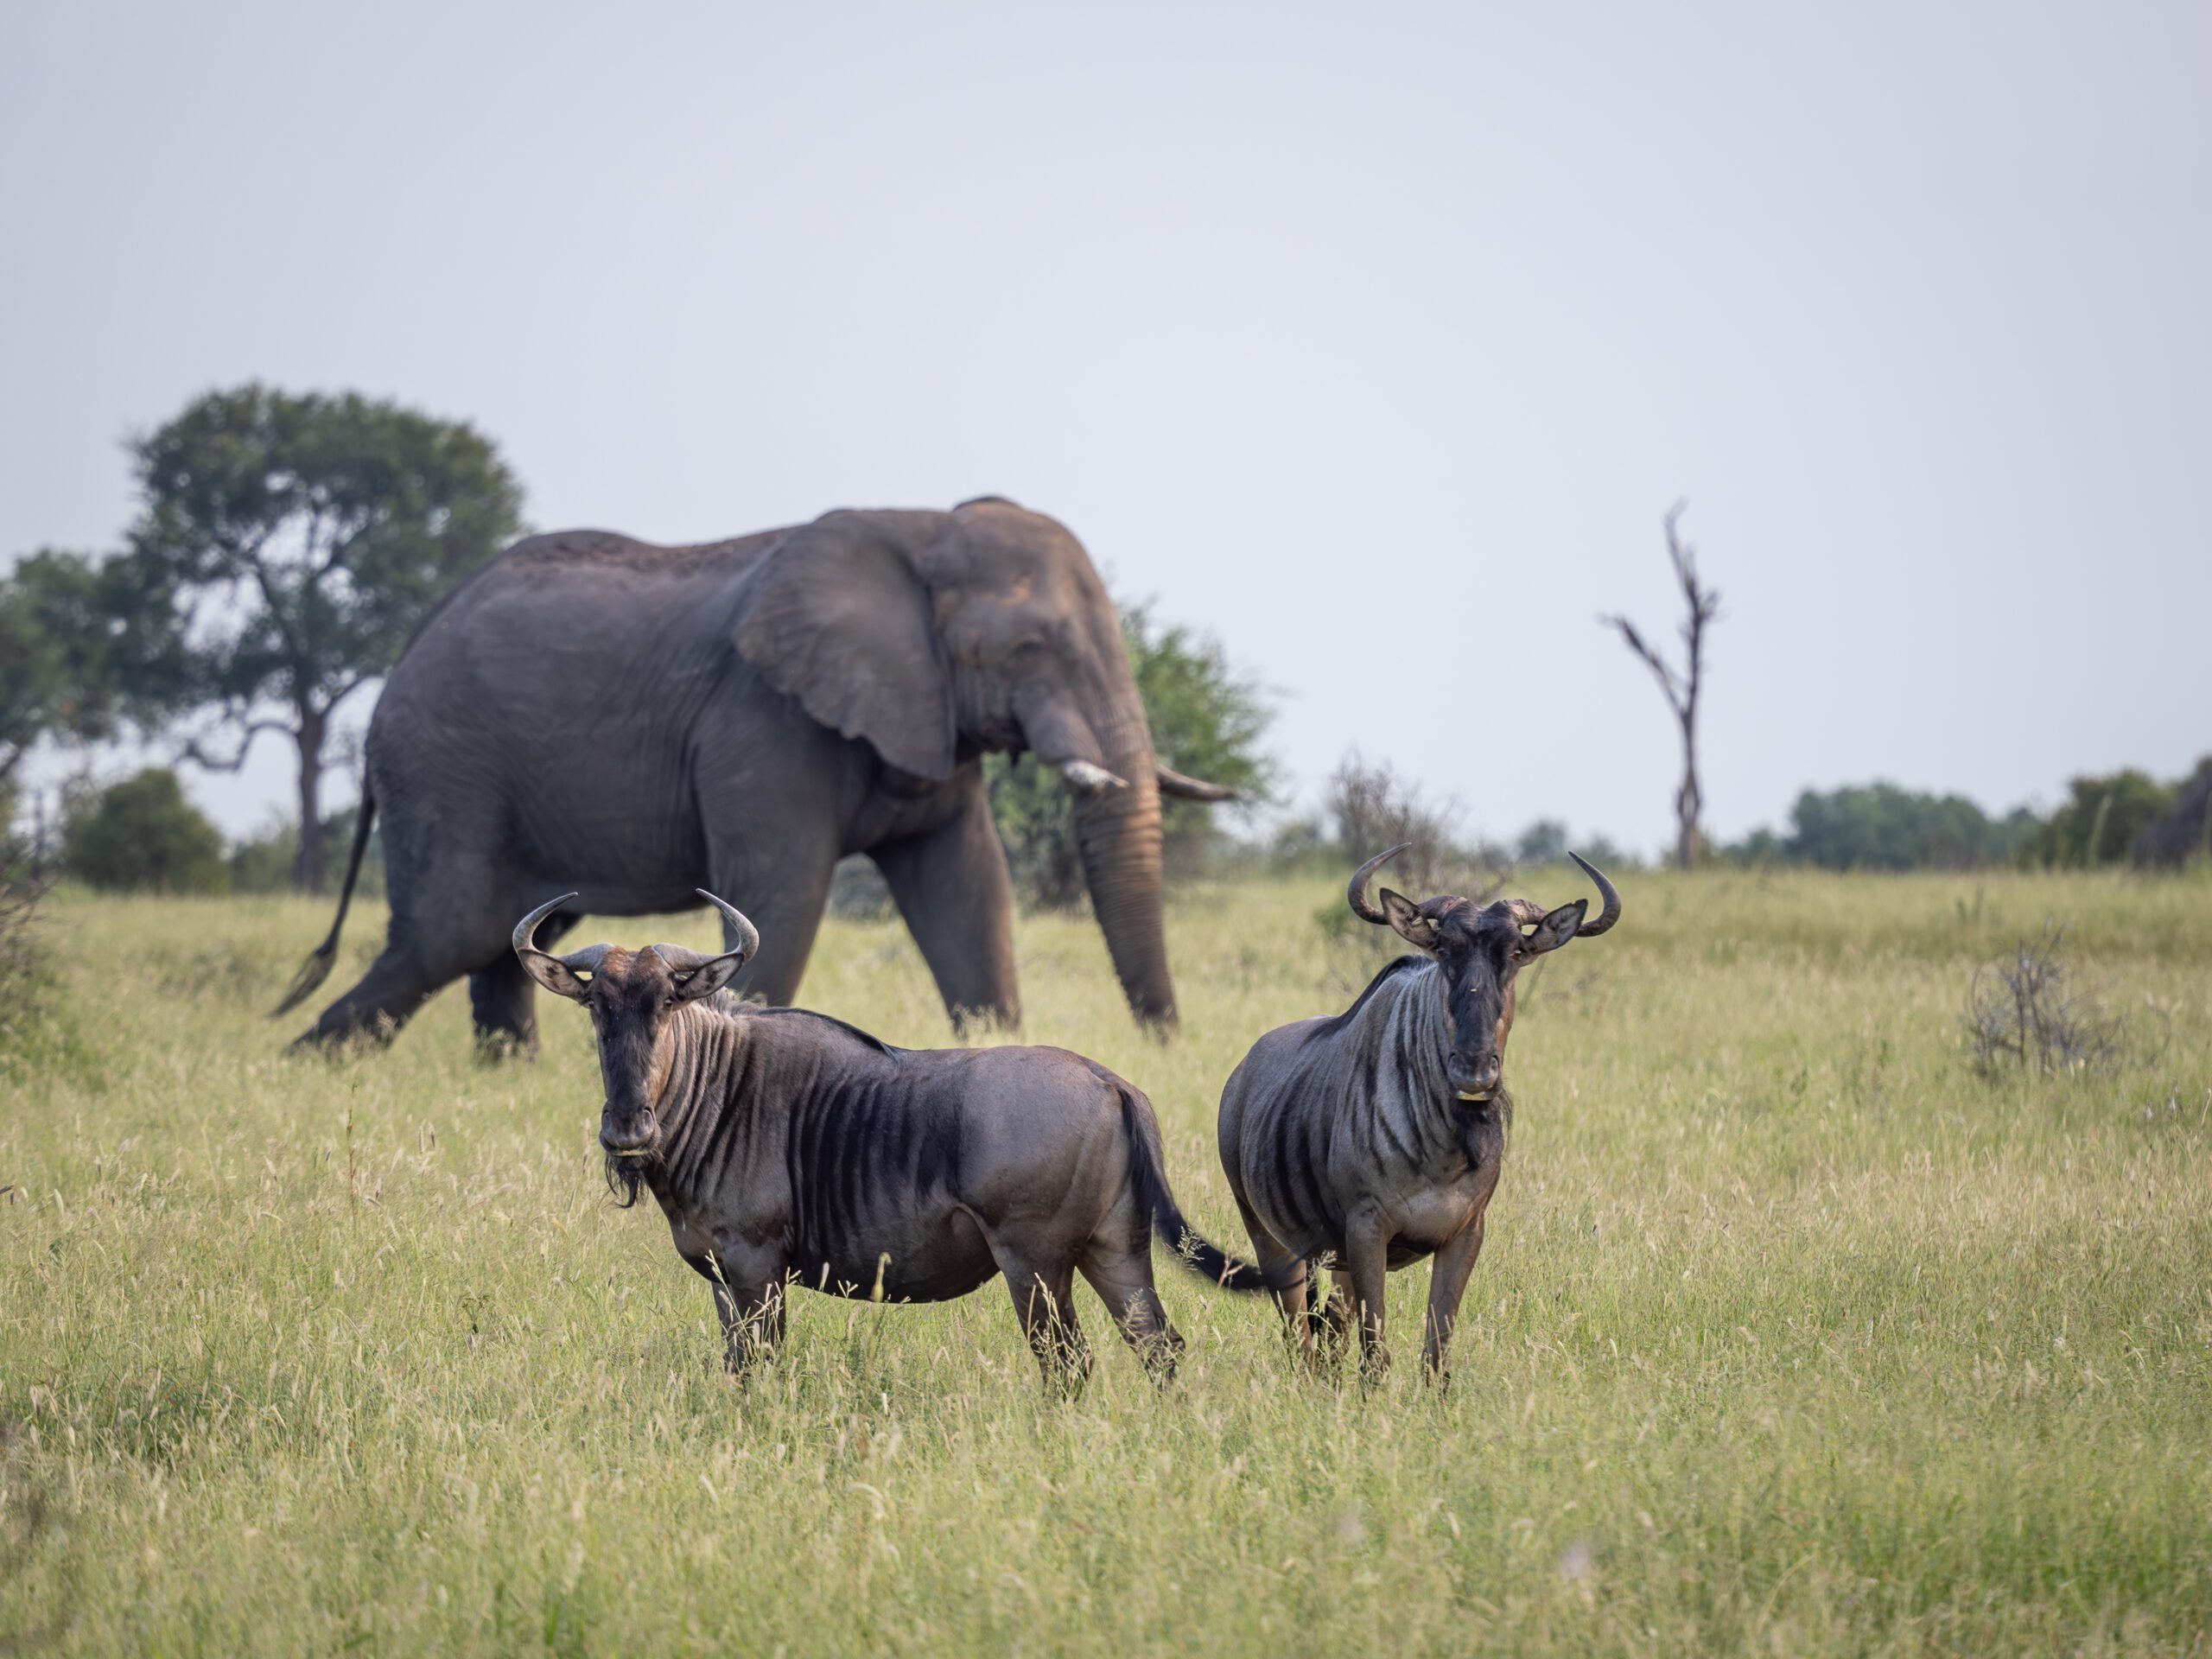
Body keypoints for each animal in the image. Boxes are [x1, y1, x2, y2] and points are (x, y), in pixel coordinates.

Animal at [277, 497, 1234, 1051]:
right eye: (1033, 648)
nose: (1165, 1047)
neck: (922, 526)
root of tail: (408, 647)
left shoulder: (928, 718)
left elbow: (969, 893)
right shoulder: (763, 723)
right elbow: (779, 896)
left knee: (501, 943)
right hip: (445, 763)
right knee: (448, 934)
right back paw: (305, 1064)